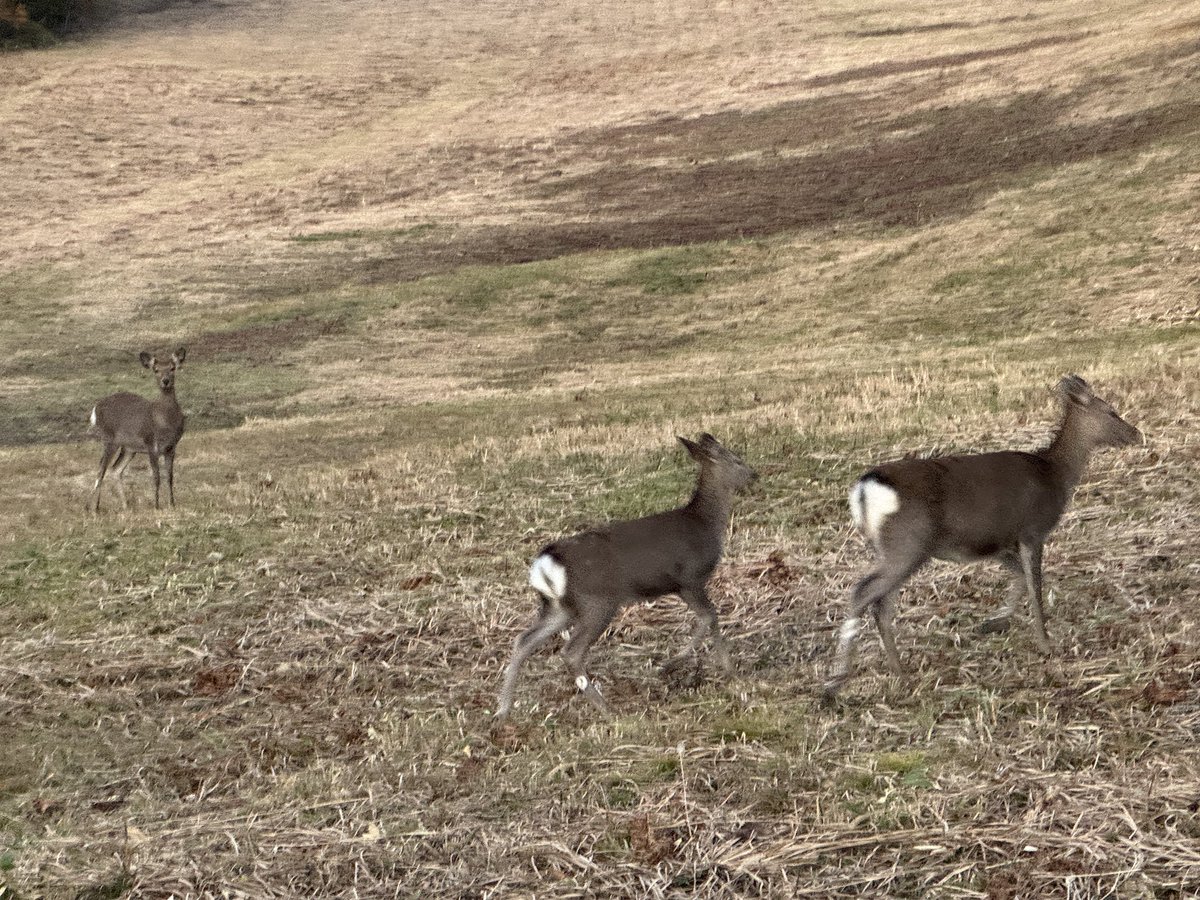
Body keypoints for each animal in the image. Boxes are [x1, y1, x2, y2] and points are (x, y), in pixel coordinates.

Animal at [89, 348, 187, 513]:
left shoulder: (171, 447)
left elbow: (170, 477)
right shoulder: (151, 443)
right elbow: (156, 477)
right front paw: (156, 505)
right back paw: (93, 508)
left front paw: (172, 504)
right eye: (156, 370)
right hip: (109, 438)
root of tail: (95, 409)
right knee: (101, 469)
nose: (165, 381)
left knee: (116, 469)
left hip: (129, 448)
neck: (164, 422)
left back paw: (125, 505)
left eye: (172, 368)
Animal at [493, 433, 756, 722]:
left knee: (524, 640)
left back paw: (503, 709)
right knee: (571, 652)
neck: (705, 524)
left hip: (559, 606)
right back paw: (606, 708)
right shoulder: (689, 579)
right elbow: (709, 616)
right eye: (736, 459)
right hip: (597, 602)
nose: (754, 475)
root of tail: (546, 562)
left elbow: (708, 618)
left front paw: (721, 669)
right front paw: (679, 664)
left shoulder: (684, 585)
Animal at [822, 375, 1141, 701]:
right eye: (1112, 411)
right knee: (863, 592)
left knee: (881, 604)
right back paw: (835, 682)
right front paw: (1046, 644)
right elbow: (1035, 587)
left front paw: (992, 623)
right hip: (907, 543)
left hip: (897, 550)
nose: (1136, 434)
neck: (1055, 473)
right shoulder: (1032, 530)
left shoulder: (999, 543)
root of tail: (864, 488)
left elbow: (1020, 578)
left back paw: (899, 671)